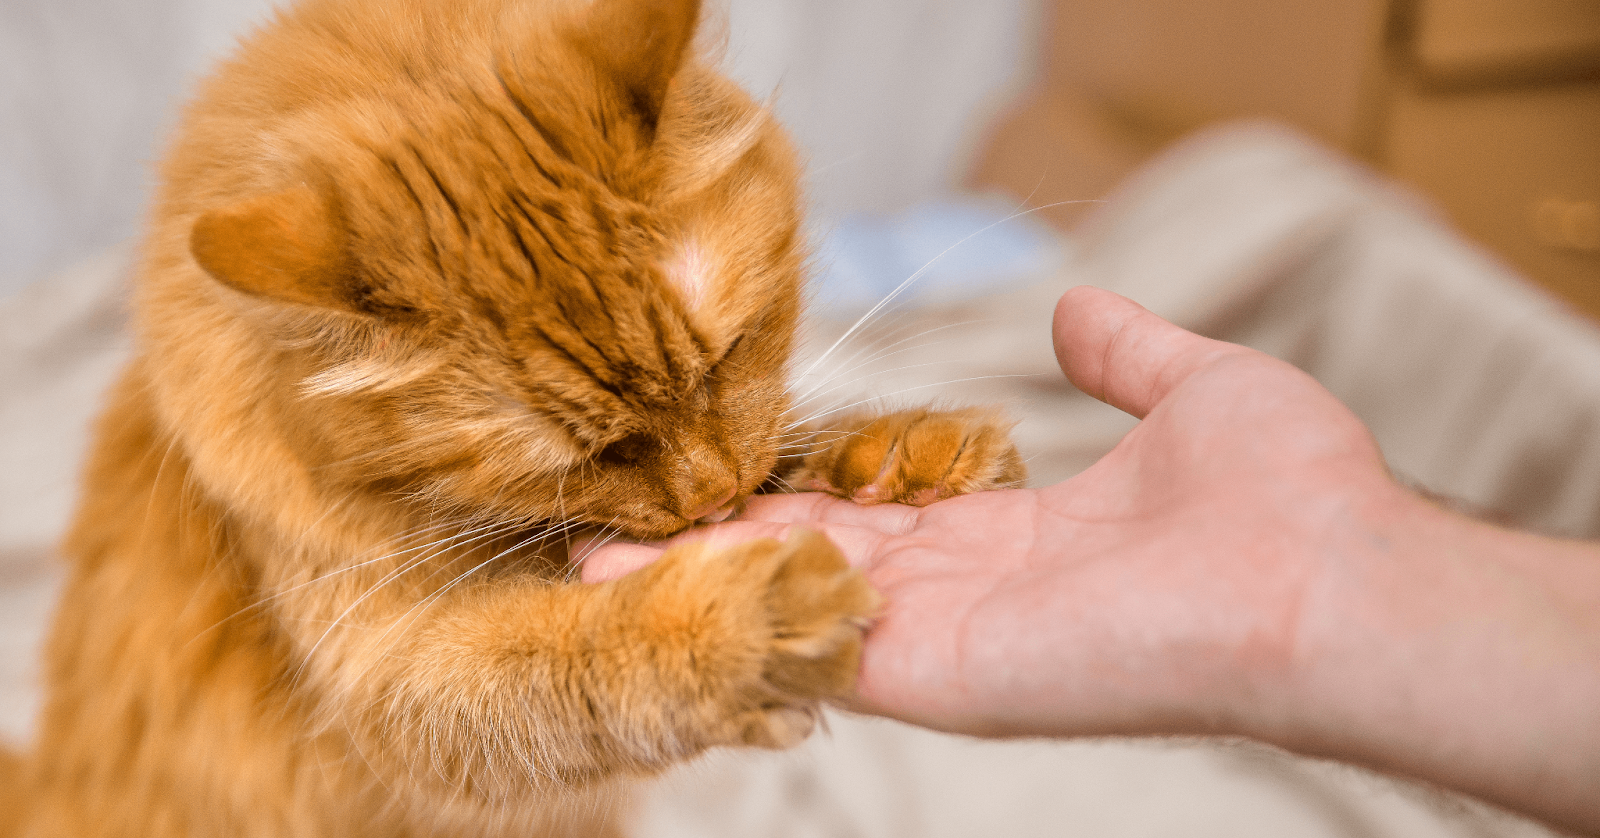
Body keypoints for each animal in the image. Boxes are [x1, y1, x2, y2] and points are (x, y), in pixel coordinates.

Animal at [6, 0, 1024, 831]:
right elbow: (575, 658)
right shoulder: (394, 675)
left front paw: (899, 455)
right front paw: (742, 624)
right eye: (589, 455)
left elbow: (791, 441)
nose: (713, 502)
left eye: (730, 355)